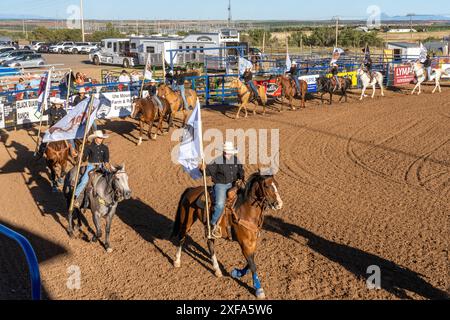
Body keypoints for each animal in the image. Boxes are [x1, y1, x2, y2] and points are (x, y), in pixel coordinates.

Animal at [171, 172, 284, 300]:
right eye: (266, 186)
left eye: (277, 185)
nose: (279, 204)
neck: (245, 211)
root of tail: (191, 189)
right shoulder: (244, 243)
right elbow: (252, 265)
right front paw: (259, 290)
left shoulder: (252, 241)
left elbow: (251, 262)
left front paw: (237, 272)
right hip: (187, 221)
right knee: (182, 238)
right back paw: (177, 261)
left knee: (210, 244)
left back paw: (217, 270)